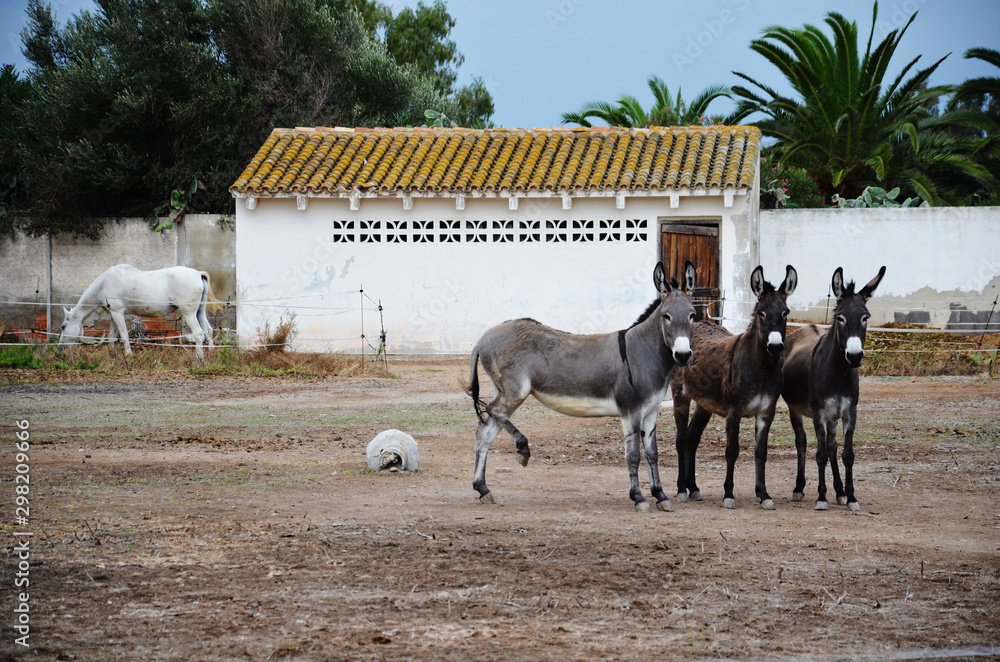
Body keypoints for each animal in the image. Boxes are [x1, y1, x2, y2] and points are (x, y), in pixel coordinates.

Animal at [59, 264, 215, 359]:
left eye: (63, 326)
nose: (60, 348)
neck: (106, 283)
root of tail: (198, 274)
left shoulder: (118, 313)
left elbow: (123, 336)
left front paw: (128, 355)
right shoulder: (112, 315)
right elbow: (112, 335)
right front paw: (111, 353)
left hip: (189, 313)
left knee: (198, 333)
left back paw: (199, 357)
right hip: (199, 312)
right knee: (208, 330)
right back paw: (211, 351)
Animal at [467, 262, 697, 513]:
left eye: (692, 315)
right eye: (666, 316)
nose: (683, 355)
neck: (642, 353)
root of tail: (483, 338)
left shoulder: (651, 411)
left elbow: (652, 454)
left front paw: (661, 495)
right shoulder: (631, 411)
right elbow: (633, 455)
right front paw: (639, 497)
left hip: (508, 394)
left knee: (485, 433)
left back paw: (483, 489)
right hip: (515, 391)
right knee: (493, 411)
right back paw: (522, 451)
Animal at [672, 265, 798, 510]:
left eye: (785, 312)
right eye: (762, 313)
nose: (775, 347)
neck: (761, 369)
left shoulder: (766, 412)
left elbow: (761, 452)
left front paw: (764, 495)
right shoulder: (734, 412)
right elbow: (732, 452)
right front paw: (728, 494)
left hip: (704, 404)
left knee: (691, 439)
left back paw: (694, 489)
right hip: (680, 394)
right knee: (681, 440)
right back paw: (682, 489)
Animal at [782, 266, 886, 511]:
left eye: (865, 317)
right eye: (840, 317)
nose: (855, 356)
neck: (839, 372)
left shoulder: (849, 411)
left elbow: (846, 454)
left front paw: (851, 497)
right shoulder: (819, 412)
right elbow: (819, 454)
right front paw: (821, 498)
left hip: (833, 416)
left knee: (831, 446)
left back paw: (839, 492)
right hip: (795, 409)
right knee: (802, 442)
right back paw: (799, 488)